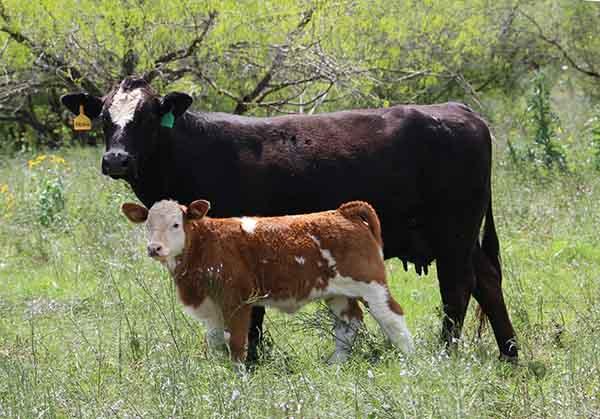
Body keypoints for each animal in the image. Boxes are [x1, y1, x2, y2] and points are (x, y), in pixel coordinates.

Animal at [122, 199, 412, 362]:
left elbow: (236, 341)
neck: (206, 244)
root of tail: (343, 212)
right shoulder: (212, 308)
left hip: (371, 285)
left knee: (392, 318)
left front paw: (237, 378)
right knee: (349, 323)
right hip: (337, 293)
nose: (154, 248)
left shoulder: (237, 301)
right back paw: (336, 363)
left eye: (175, 224)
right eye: (148, 225)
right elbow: (216, 341)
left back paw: (410, 362)